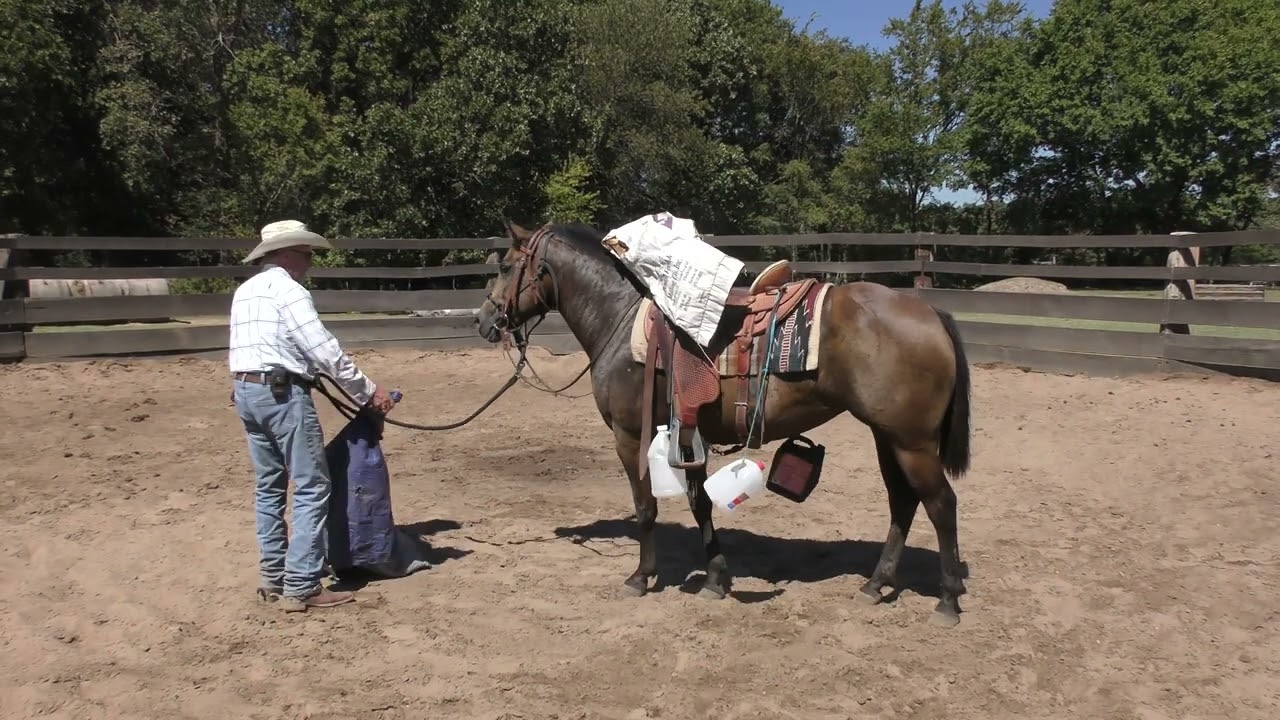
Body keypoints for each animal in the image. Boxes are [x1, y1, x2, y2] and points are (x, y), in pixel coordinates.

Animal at [474, 220, 973, 627]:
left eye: (505, 267)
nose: (483, 319)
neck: (620, 316)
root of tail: (930, 313)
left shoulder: (630, 436)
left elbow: (646, 508)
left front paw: (641, 576)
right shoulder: (688, 432)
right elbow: (701, 507)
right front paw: (716, 579)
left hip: (911, 443)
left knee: (941, 505)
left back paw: (947, 600)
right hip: (888, 438)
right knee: (903, 503)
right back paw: (875, 584)